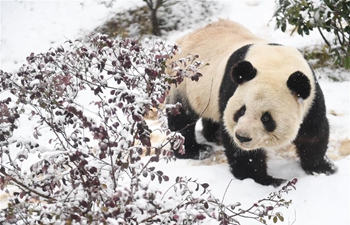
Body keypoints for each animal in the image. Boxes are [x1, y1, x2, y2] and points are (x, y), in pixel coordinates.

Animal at [167, 18, 336, 186]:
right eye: (241, 111)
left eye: (266, 118)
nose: (242, 137)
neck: (275, 65)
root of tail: (182, 39)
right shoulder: (232, 90)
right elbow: (242, 152)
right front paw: (266, 180)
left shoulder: (311, 97)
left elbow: (314, 133)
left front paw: (322, 168)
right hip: (183, 82)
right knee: (181, 120)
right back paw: (196, 150)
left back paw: (214, 135)